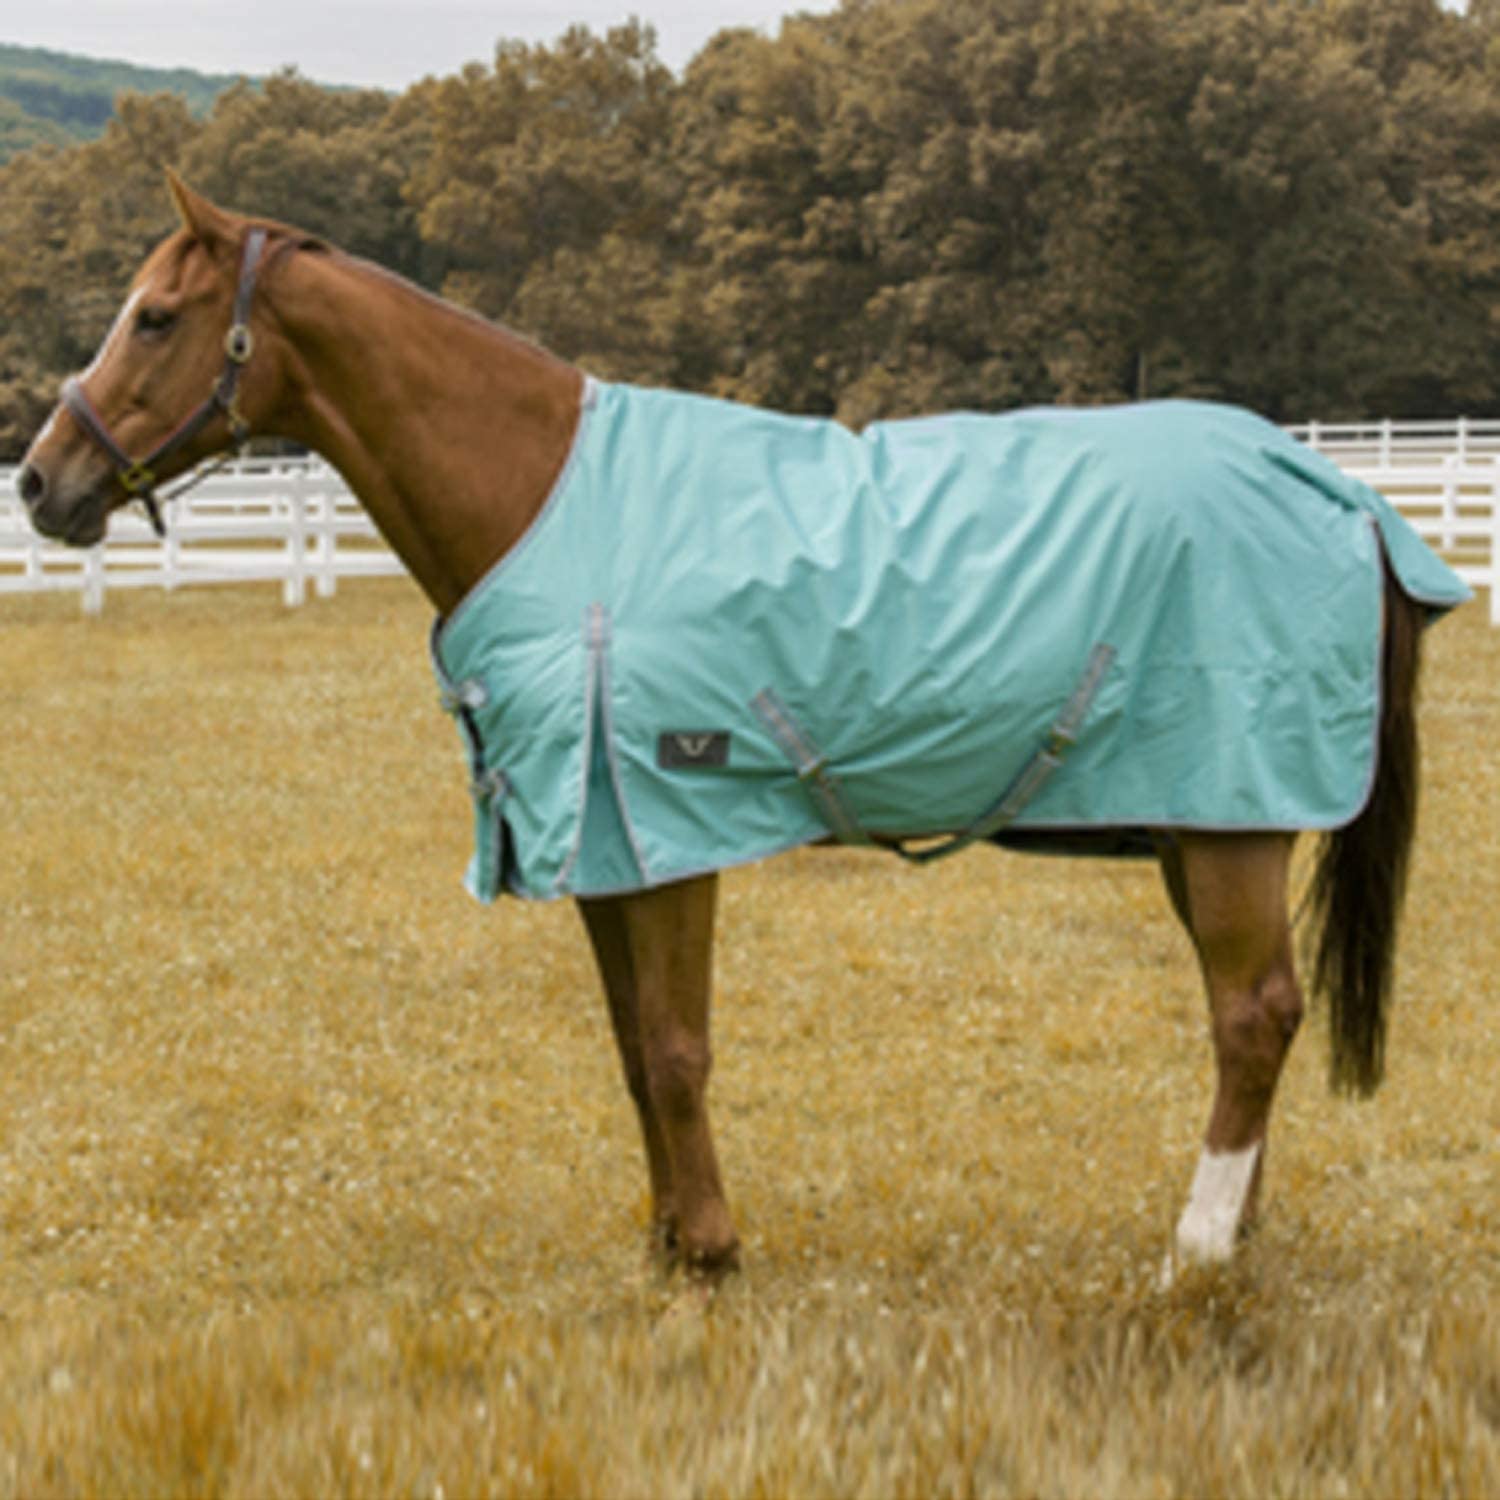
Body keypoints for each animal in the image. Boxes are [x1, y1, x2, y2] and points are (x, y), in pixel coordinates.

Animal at [15, 174, 1469, 1284]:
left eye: (154, 317)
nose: (41, 481)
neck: (549, 498)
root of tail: (1339, 490)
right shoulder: (606, 850)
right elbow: (630, 1051)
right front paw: (668, 1244)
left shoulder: (671, 831)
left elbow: (675, 1050)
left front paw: (711, 1250)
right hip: (1201, 823)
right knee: (1253, 1017)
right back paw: (1238, 1232)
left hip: (1230, 829)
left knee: (1254, 1015)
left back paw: (1198, 1250)